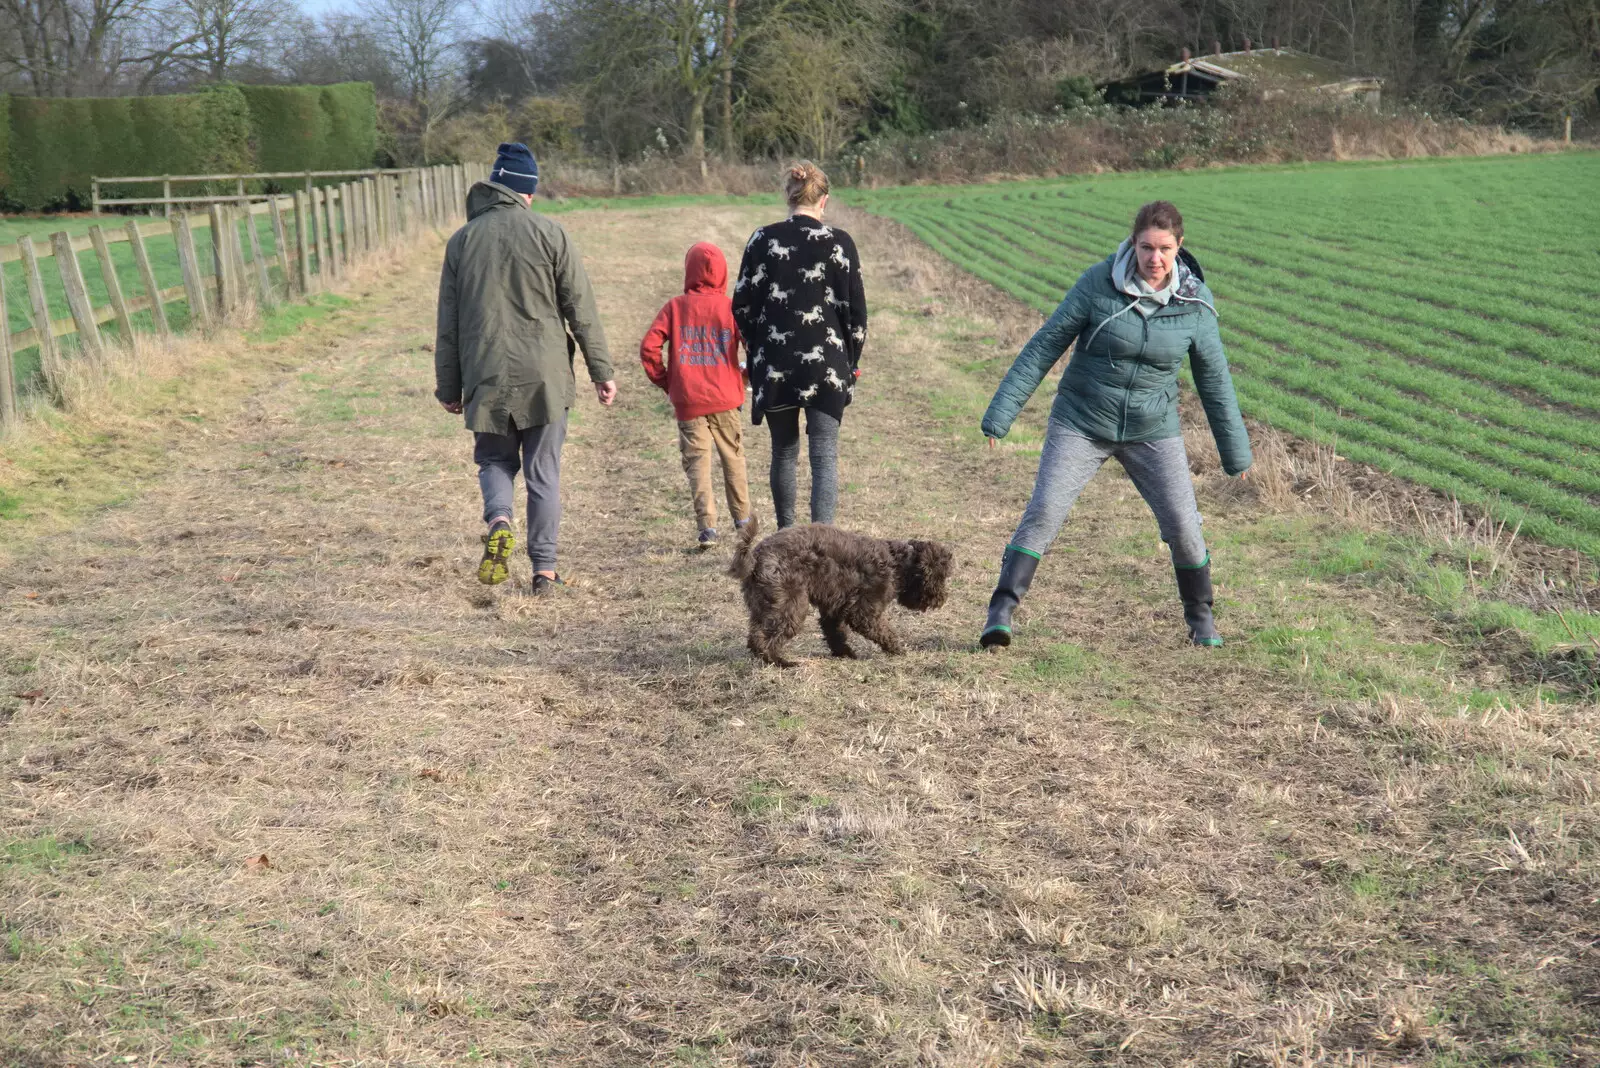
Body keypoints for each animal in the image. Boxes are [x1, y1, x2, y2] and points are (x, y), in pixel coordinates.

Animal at [732, 518, 953, 668]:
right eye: (941, 577)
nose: (942, 599)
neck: (897, 564)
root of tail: (755, 557)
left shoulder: (834, 608)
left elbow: (835, 632)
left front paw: (845, 653)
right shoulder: (864, 611)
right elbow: (883, 631)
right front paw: (897, 649)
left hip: (765, 604)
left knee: (755, 636)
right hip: (790, 604)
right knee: (763, 638)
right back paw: (782, 662)